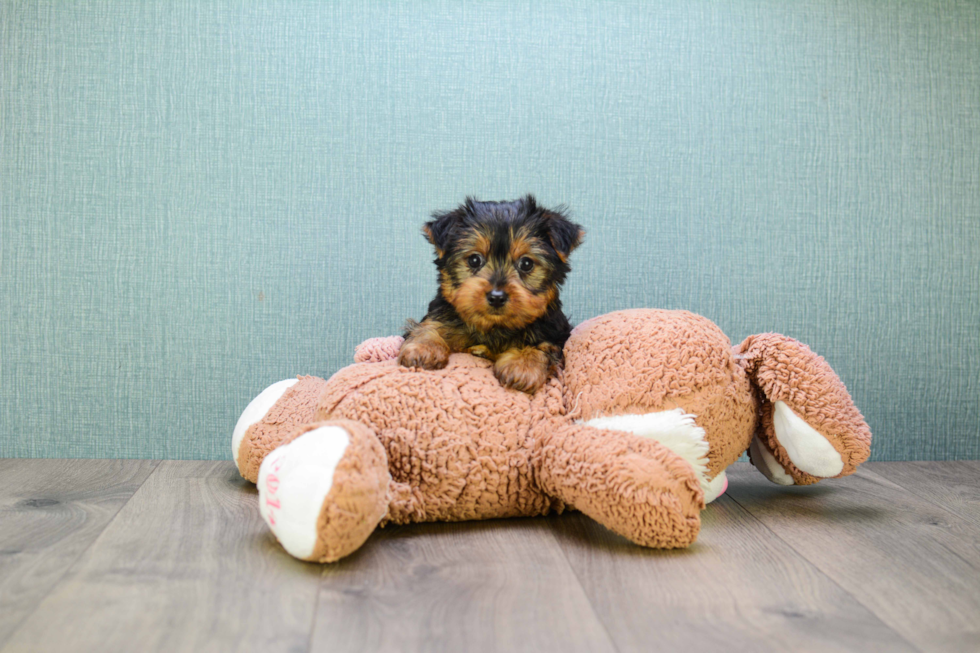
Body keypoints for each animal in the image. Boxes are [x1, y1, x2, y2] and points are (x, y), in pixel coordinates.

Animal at [396, 195, 580, 392]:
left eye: (526, 264)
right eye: (474, 260)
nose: (497, 297)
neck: (494, 327)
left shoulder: (555, 332)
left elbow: (545, 345)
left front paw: (523, 365)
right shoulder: (443, 313)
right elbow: (429, 325)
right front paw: (423, 348)